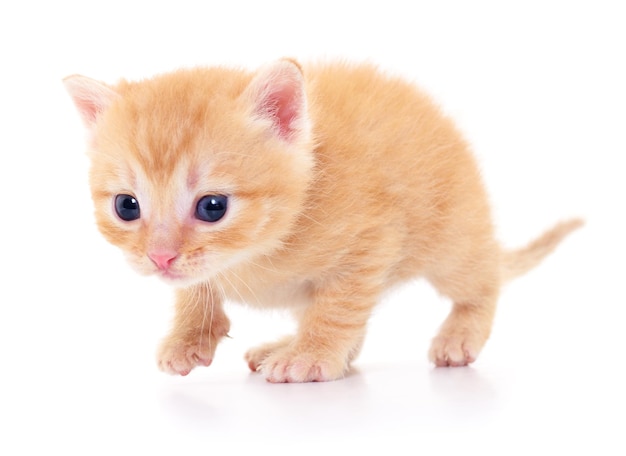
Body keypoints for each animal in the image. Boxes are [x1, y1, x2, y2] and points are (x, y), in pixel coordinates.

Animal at [63, 59, 580, 382]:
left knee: (481, 280)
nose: (160, 258)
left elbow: (337, 309)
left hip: (452, 237)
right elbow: (195, 291)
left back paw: (459, 335)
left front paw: (311, 356)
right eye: (127, 206)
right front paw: (188, 337)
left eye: (212, 207)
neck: (255, 252)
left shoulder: (370, 243)